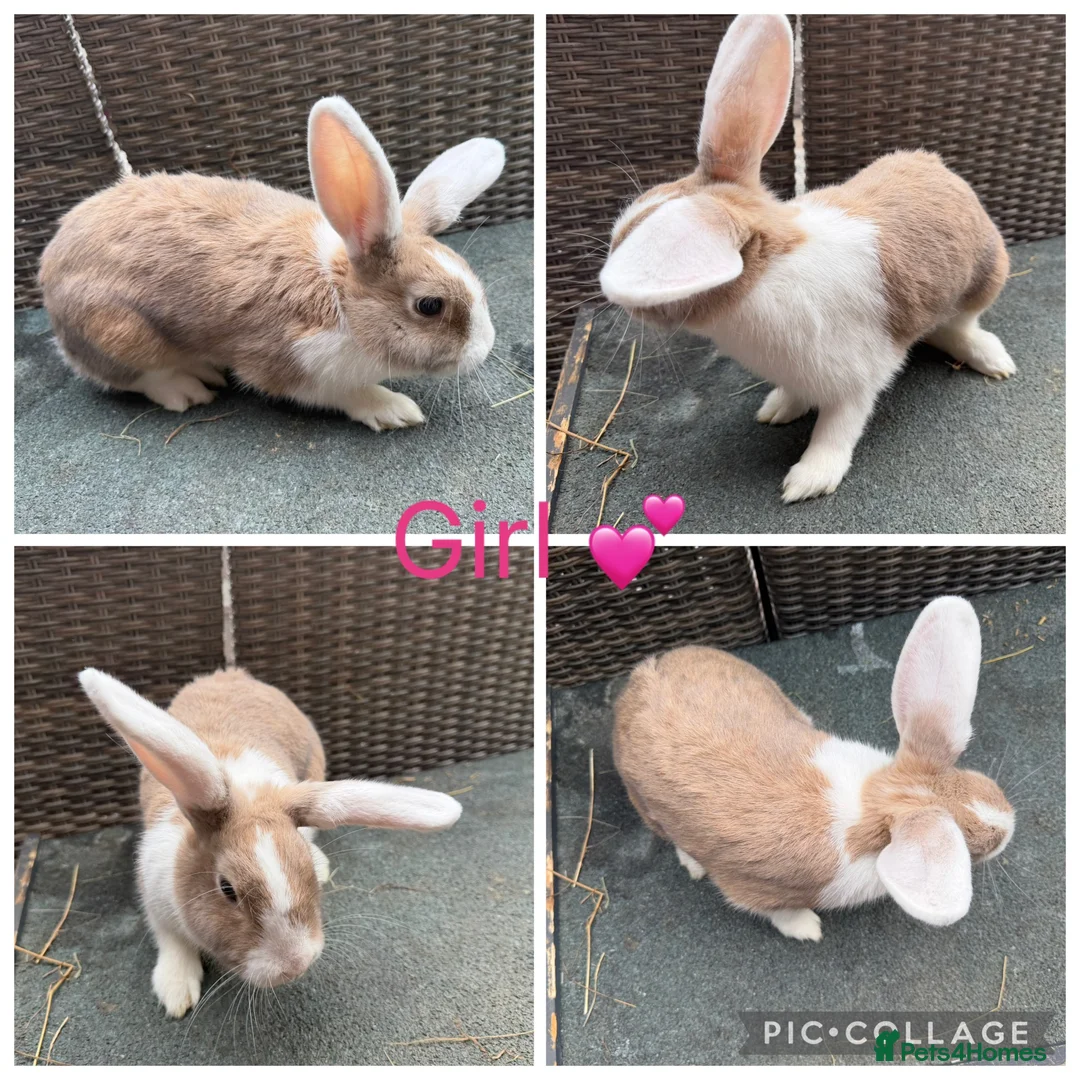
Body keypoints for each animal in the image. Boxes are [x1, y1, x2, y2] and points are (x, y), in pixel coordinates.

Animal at [39, 96, 505, 431]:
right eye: (429, 306)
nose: (485, 346)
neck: (340, 293)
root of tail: (50, 267)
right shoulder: (293, 365)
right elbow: (345, 394)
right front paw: (394, 409)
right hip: (119, 331)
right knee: (133, 377)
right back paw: (189, 388)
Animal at [78, 666, 461, 1017]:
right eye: (227, 889)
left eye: (303, 867)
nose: (295, 965)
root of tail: (232, 673)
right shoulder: (155, 897)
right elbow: (172, 942)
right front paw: (176, 994)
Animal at [599, 14, 1014, 502]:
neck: (764, 282)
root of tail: (939, 166)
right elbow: (795, 396)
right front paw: (778, 408)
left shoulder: (856, 380)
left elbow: (836, 429)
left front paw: (808, 480)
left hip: (985, 276)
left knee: (961, 326)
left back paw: (994, 361)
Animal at [612, 596, 1014, 941]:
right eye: (971, 843)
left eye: (977, 780)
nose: (1009, 827)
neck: (872, 806)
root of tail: (639, 677)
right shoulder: (753, 888)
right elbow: (774, 911)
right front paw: (808, 928)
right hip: (646, 805)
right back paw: (694, 865)